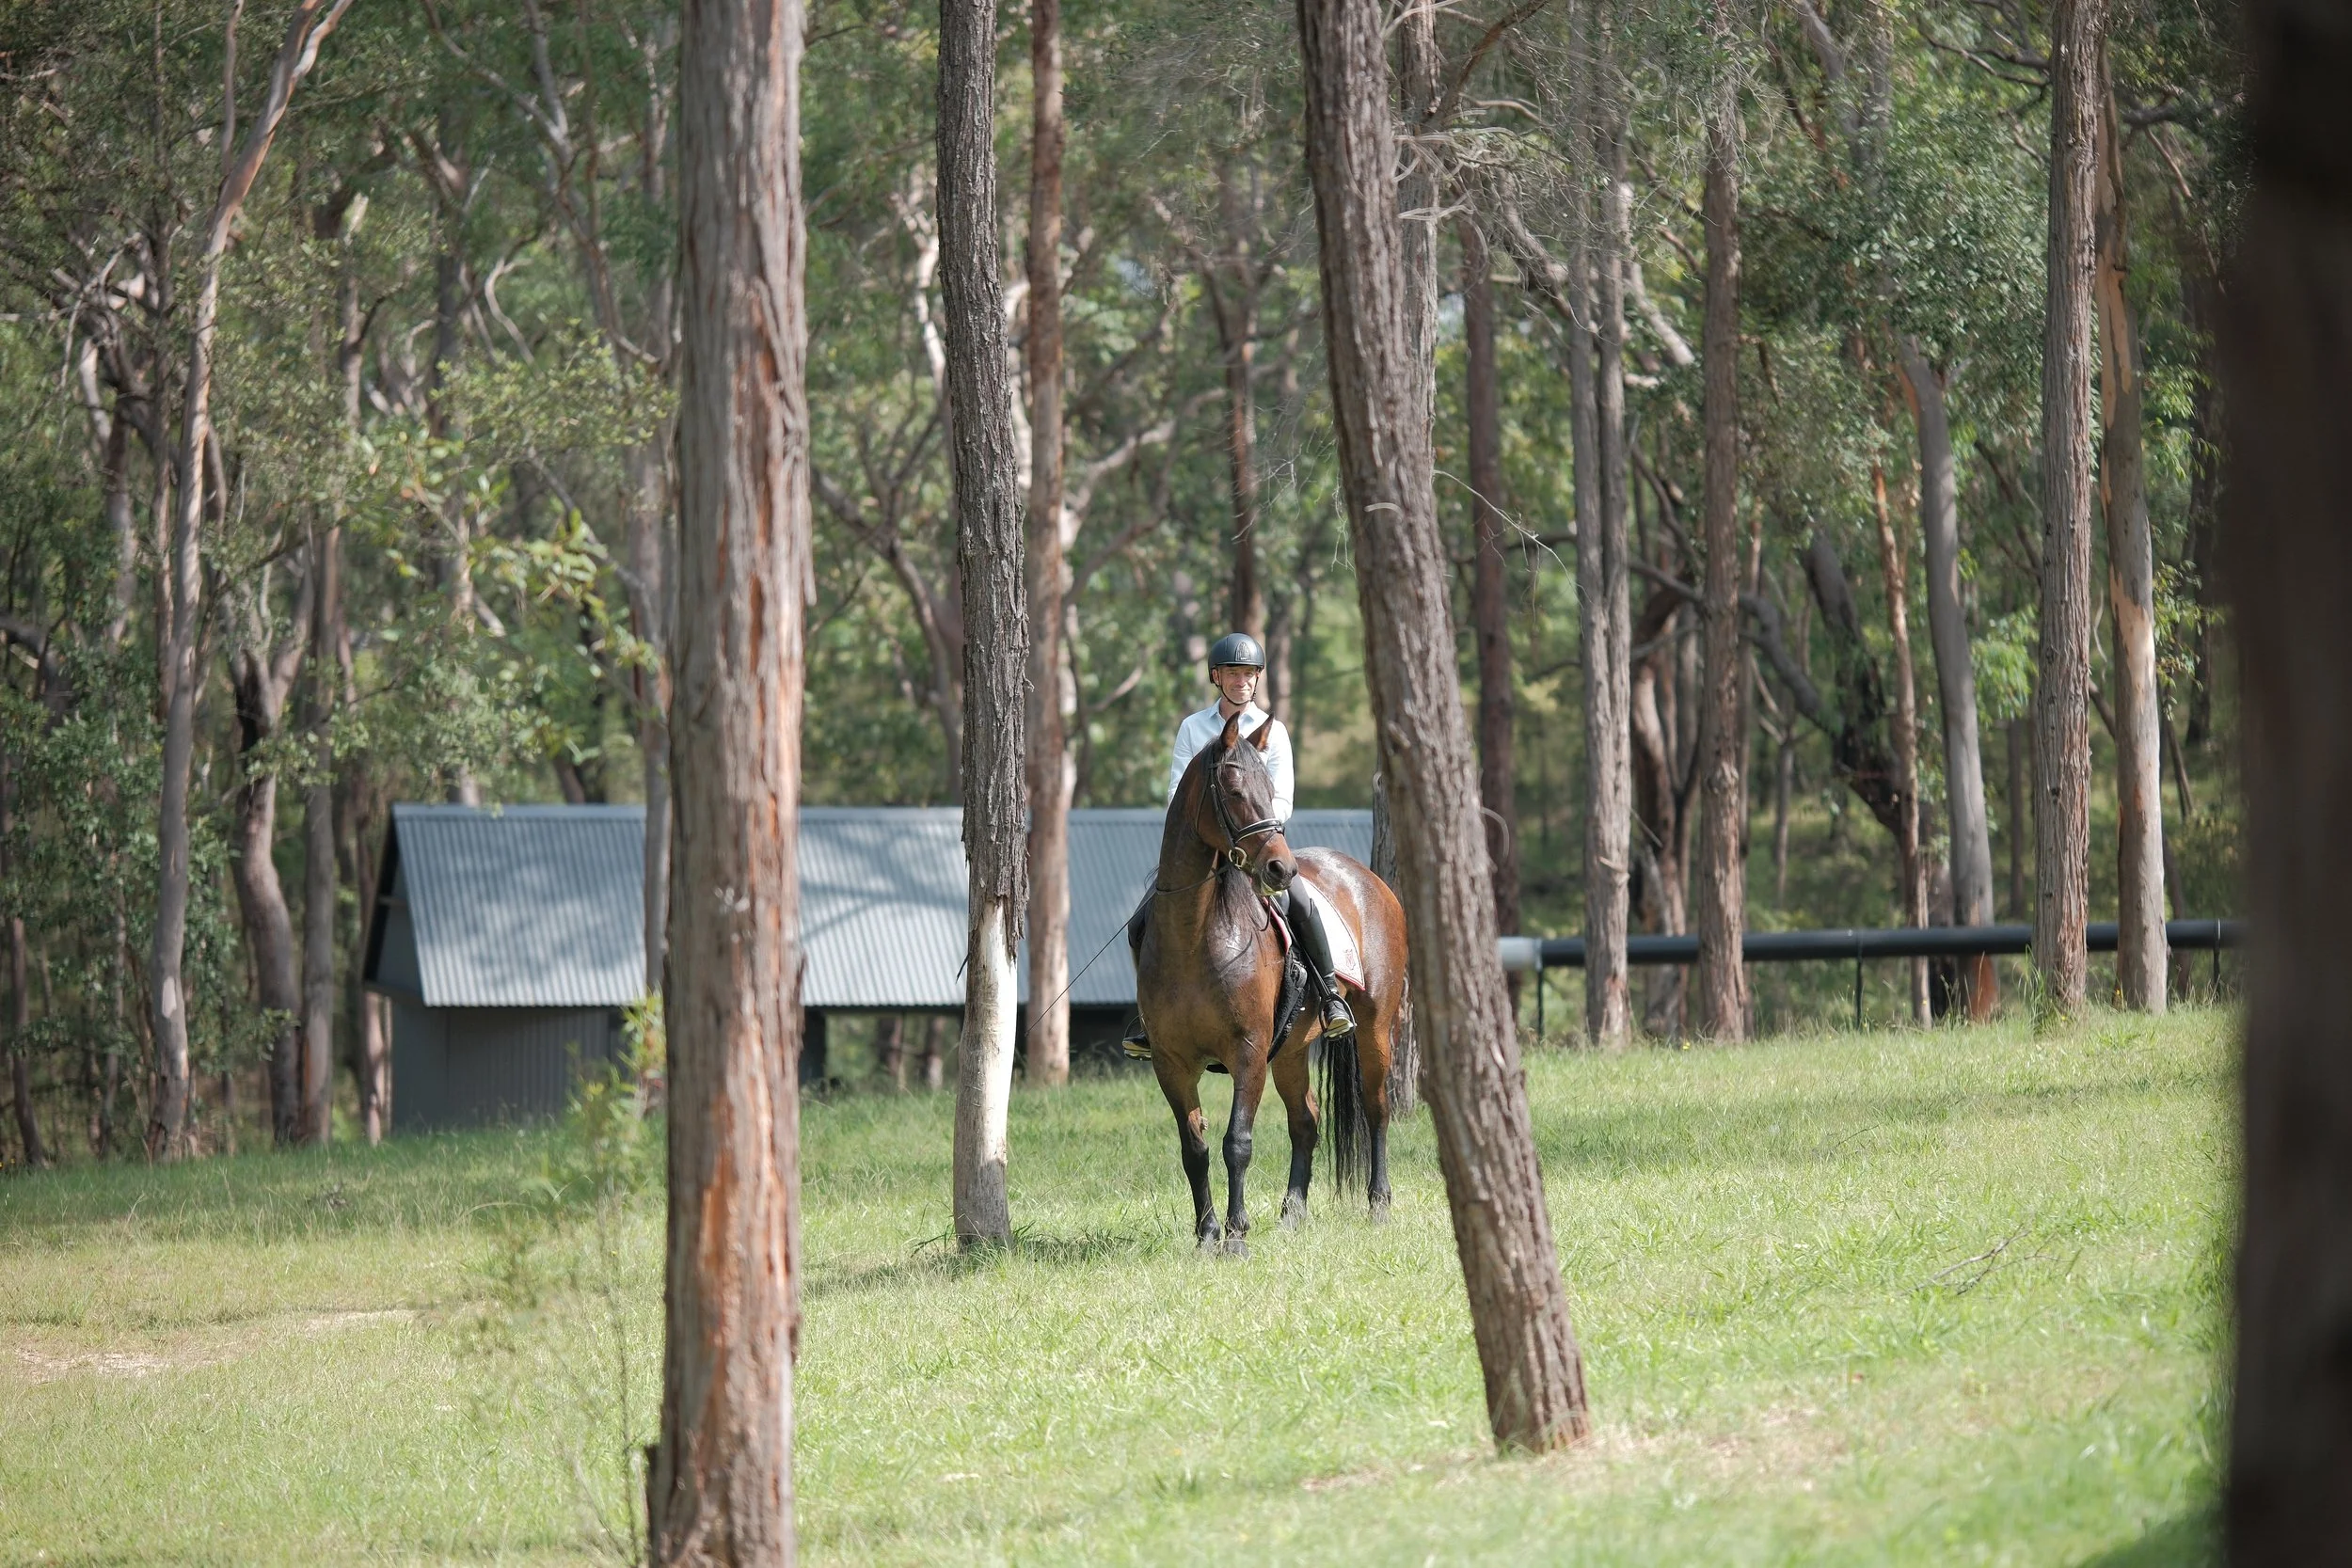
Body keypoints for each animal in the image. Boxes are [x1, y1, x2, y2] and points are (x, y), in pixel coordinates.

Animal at [1134, 710, 1410, 1255]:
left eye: (1269, 787)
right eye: (1236, 790)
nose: (1282, 869)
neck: (1194, 936)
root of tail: (1368, 879)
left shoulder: (1247, 1050)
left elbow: (1237, 1142)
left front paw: (1236, 1236)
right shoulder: (1170, 1062)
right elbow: (1194, 1148)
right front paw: (1206, 1236)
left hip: (1374, 1031)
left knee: (1376, 1109)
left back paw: (1379, 1205)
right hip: (1290, 1051)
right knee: (1305, 1122)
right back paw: (1292, 1215)